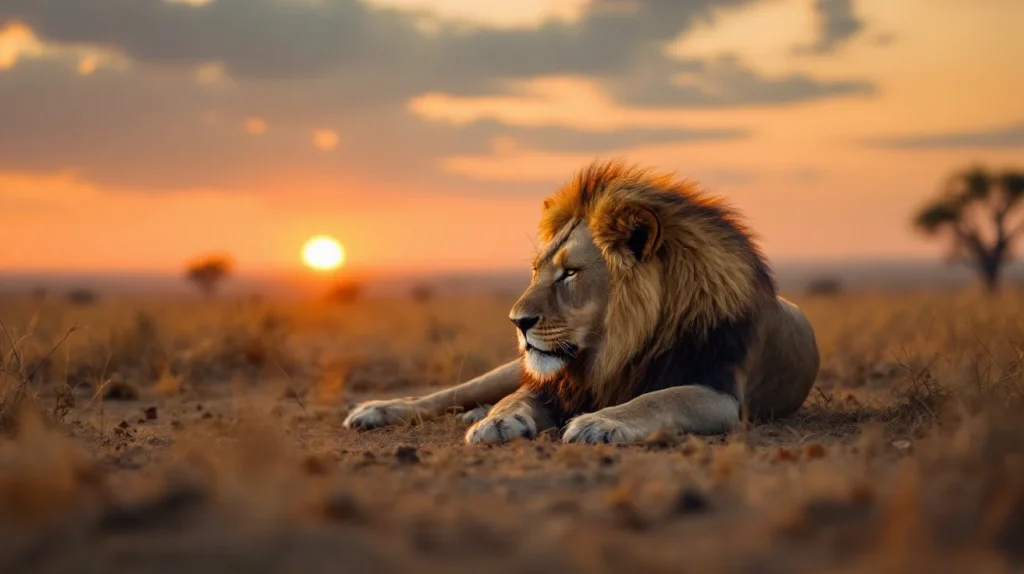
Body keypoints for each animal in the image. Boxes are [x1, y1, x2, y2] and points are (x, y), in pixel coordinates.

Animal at [343, 160, 820, 445]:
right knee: (455, 393)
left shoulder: (720, 391)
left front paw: (600, 421)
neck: (616, 347)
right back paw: (377, 410)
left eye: (570, 273)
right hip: (510, 368)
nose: (516, 321)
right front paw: (496, 421)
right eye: (536, 270)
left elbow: (659, 399)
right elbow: (513, 400)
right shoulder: (553, 381)